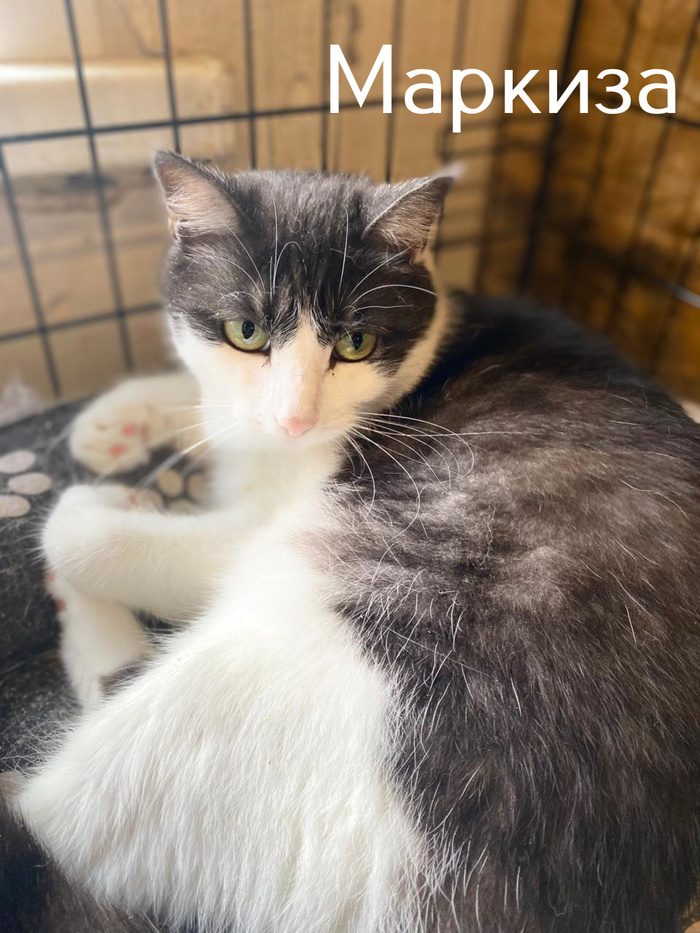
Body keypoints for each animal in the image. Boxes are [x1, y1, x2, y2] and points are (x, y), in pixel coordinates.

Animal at [6, 153, 700, 933]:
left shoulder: (279, 517)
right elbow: (207, 402)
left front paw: (98, 504)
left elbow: (86, 537)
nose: (295, 418)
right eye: (246, 331)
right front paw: (117, 421)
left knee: (58, 817)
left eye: (356, 344)